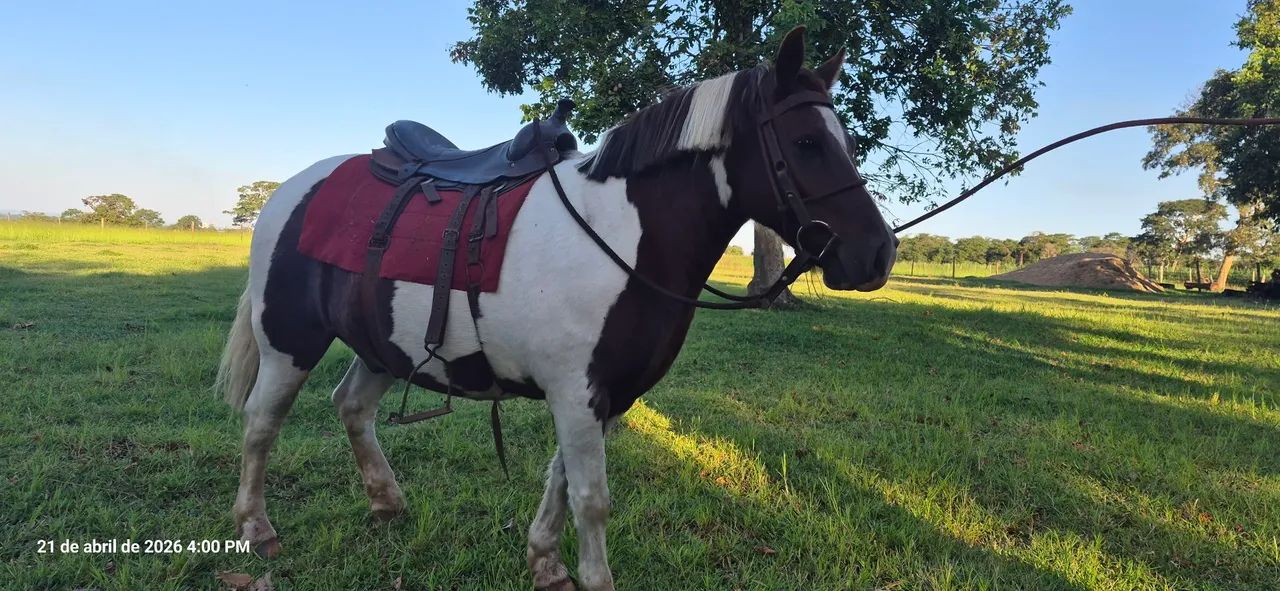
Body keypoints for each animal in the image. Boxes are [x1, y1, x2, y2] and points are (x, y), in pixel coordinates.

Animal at [215, 26, 896, 591]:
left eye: (844, 141)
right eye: (806, 143)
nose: (878, 253)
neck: (621, 236)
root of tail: (293, 190)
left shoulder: (605, 395)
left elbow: (561, 481)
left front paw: (545, 562)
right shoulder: (576, 392)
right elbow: (591, 498)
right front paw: (589, 578)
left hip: (382, 345)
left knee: (351, 407)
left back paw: (386, 502)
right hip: (289, 340)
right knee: (261, 424)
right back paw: (256, 528)